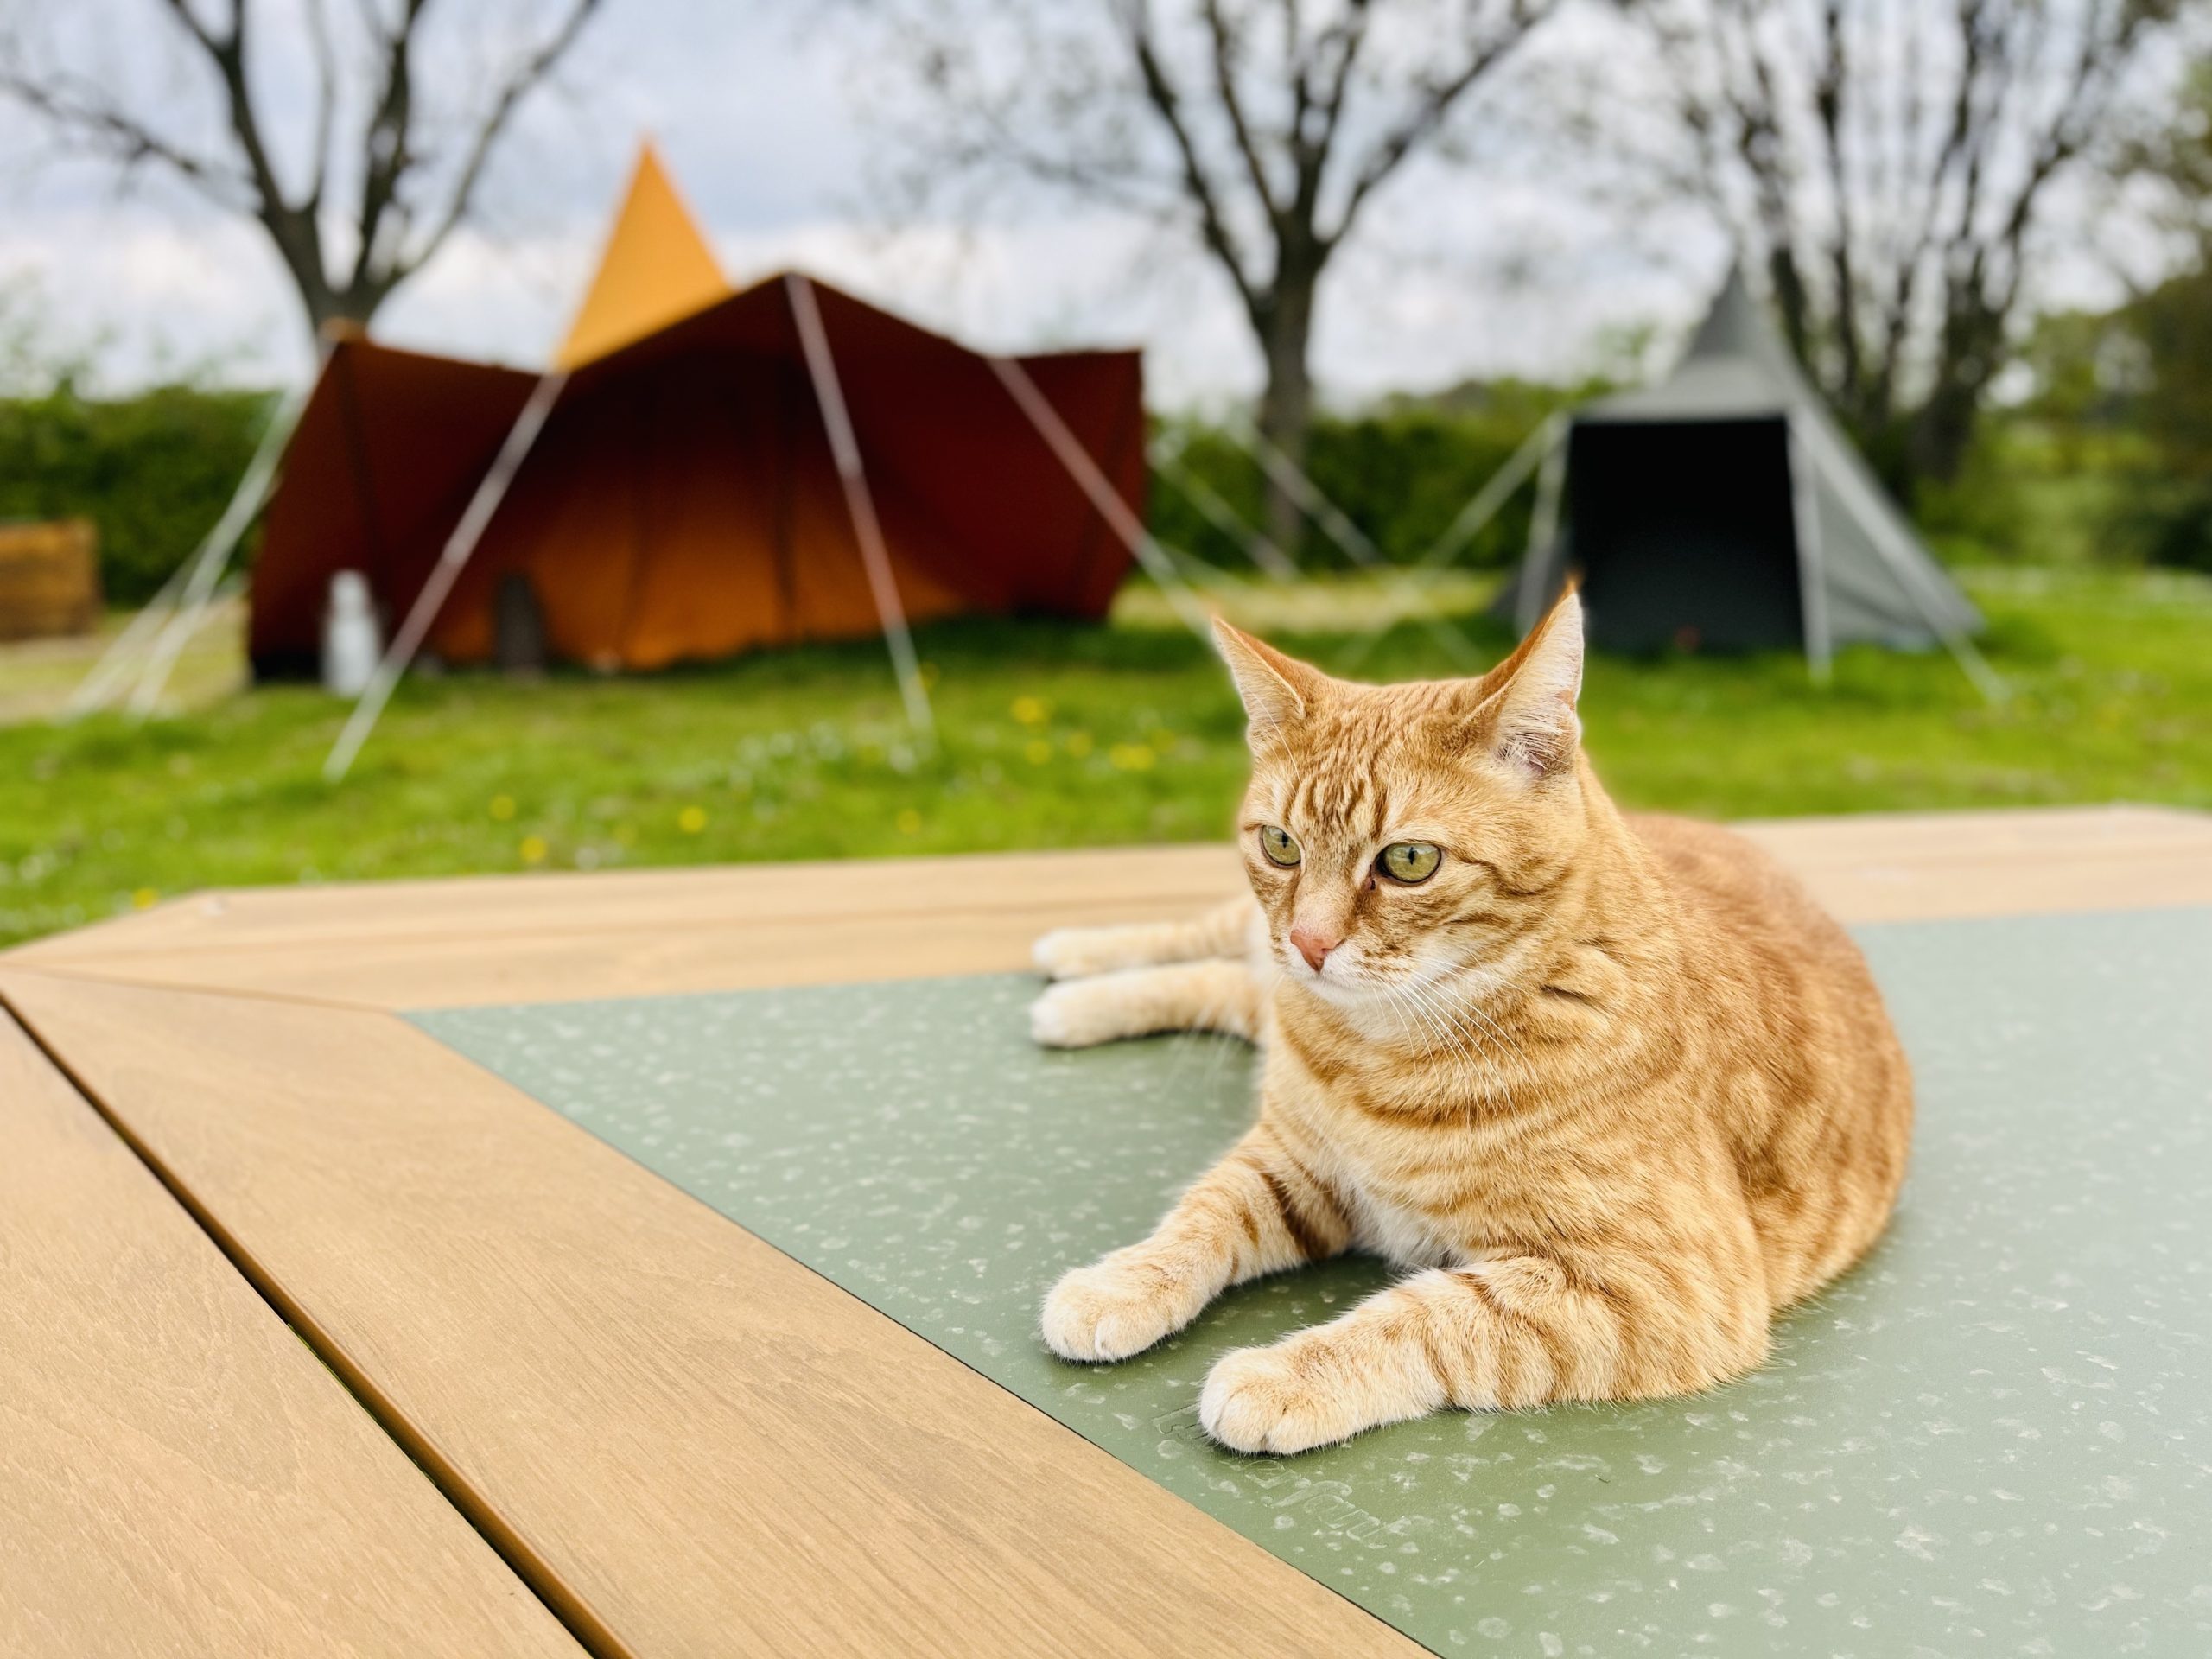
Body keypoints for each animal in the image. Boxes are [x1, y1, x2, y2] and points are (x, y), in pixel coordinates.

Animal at [1035, 593, 1920, 1451]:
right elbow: (1203, 1214)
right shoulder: (1290, 1159)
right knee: (1211, 950)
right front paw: (1124, 1280)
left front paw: (1287, 1375)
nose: (1310, 943)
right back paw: (1073, 966)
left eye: (1408, 861)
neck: (1377, 1055)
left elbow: (1430, 1317)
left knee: (1226, 981)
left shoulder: (1660, 1287)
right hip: (1252, 955)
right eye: (1281, 845)